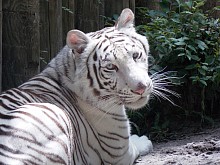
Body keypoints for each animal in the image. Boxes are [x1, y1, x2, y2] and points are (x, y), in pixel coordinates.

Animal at [0, 8, 155, 164]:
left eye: (135, 55)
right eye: (110, 67)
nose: (141, 88)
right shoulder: (119, 152)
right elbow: (136, 145)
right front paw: (143, 139)